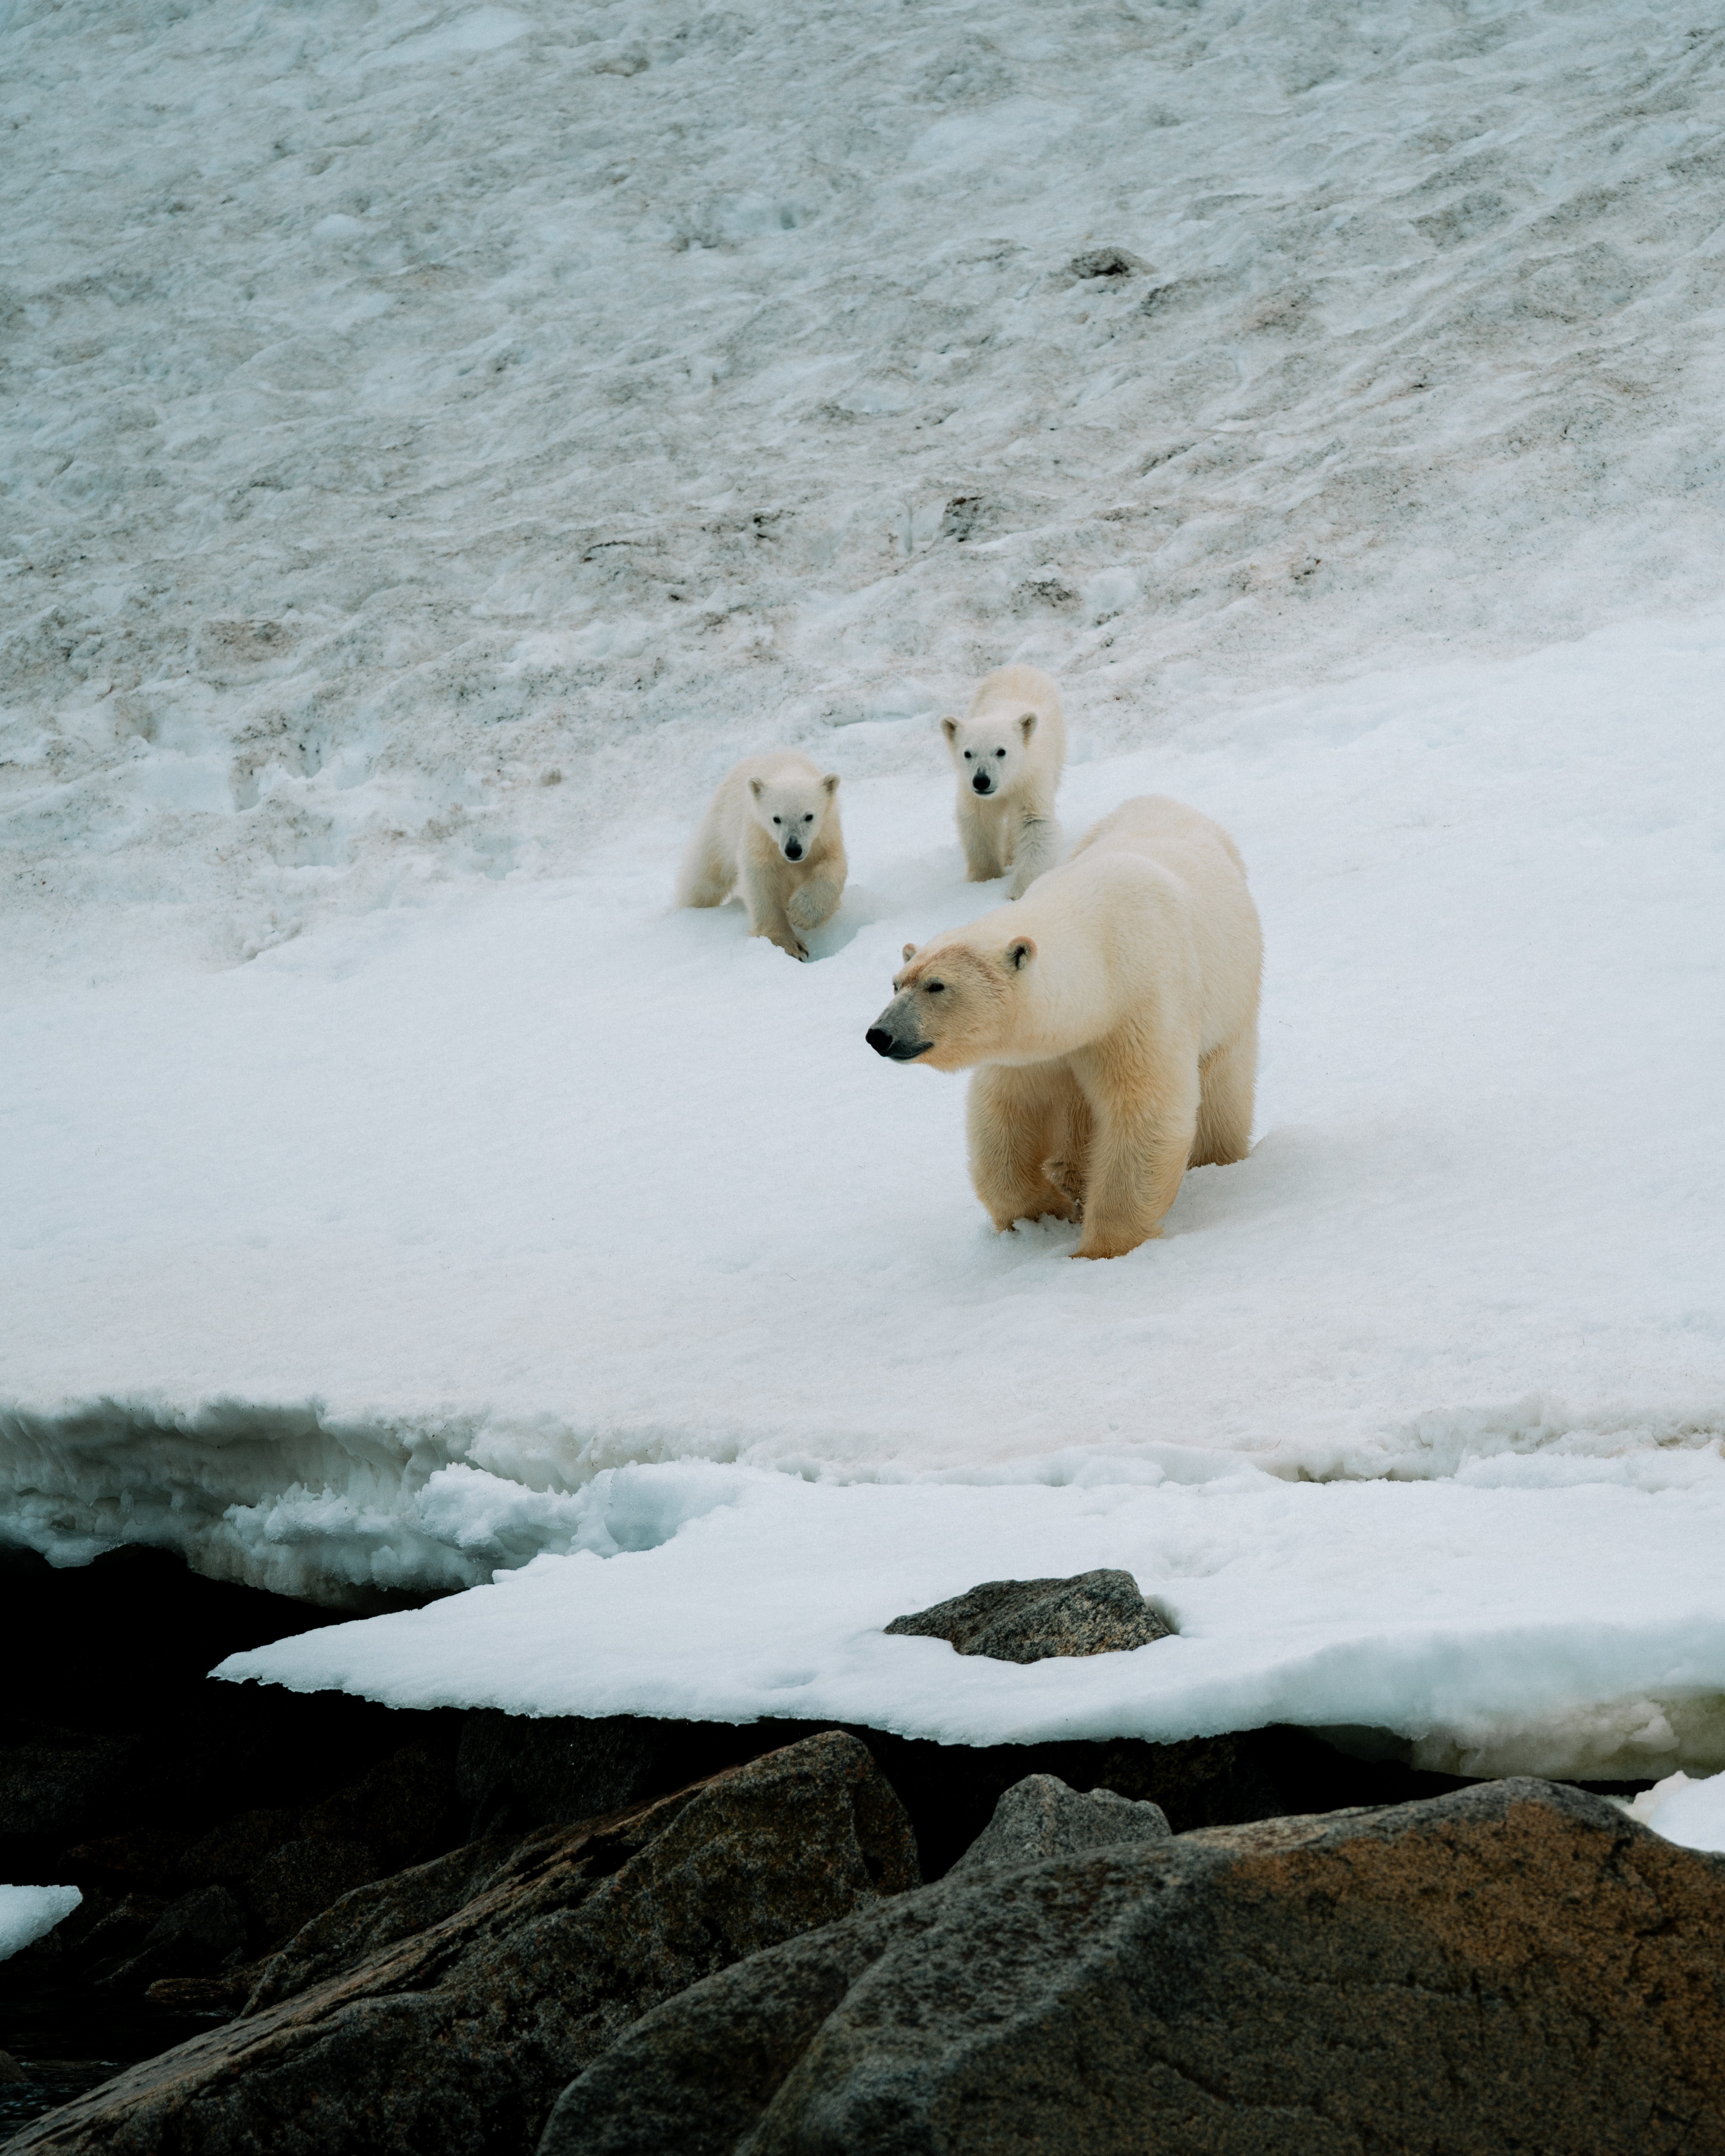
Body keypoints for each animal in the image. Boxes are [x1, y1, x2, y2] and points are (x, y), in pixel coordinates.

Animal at [675, 751, 846, 960]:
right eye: (776, 819)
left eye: (809, 816)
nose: (793, 849)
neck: (788, 768)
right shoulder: (759, 835)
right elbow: (761, 881)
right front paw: (788, 944)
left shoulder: (825, 835)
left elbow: (833, 865)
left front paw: (802, 914)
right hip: (720, 829)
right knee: (703, 880)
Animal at [865, 794, 1261, 1259]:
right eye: (896, 983)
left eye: (936, 985)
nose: (880, 1035)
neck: (1101, 956)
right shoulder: (1039, 1044)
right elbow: (1006, 1110)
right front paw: (1042, 1213)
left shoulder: (1139, 1009)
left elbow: (1144, 1111)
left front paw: (1098, 1249)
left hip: (1232, 992)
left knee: (1222, 1088)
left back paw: (1216, 1160)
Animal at [939, 664, 1067, 900]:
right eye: (967, 753)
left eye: (1001, 751)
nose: (981, 781)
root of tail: (1020, 666)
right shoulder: (973, 793)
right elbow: (978, 822)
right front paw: (984, 879)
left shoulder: (1030, 780)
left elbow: (1035, 823)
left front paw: (1018, 892)